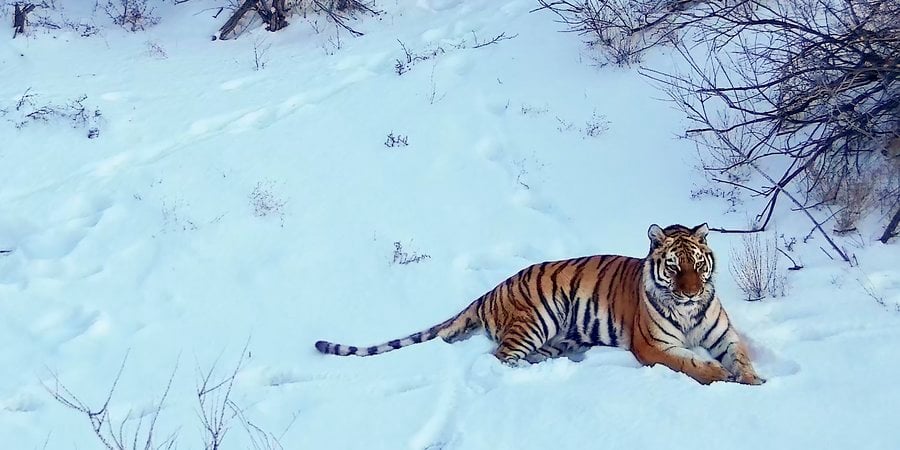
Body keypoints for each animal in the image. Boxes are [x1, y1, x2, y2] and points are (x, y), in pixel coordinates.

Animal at [315, 223, 764, 385]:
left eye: (698, 264)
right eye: (673, 267)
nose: (691, 292)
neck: (687, 311)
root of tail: (490, 291)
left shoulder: (725, 334)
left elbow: (740, 355)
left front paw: (752, 379)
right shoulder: (652, 345)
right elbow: (688, 363)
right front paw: (719, 376)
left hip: (563, 335)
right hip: (538, 318)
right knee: (500, 358)